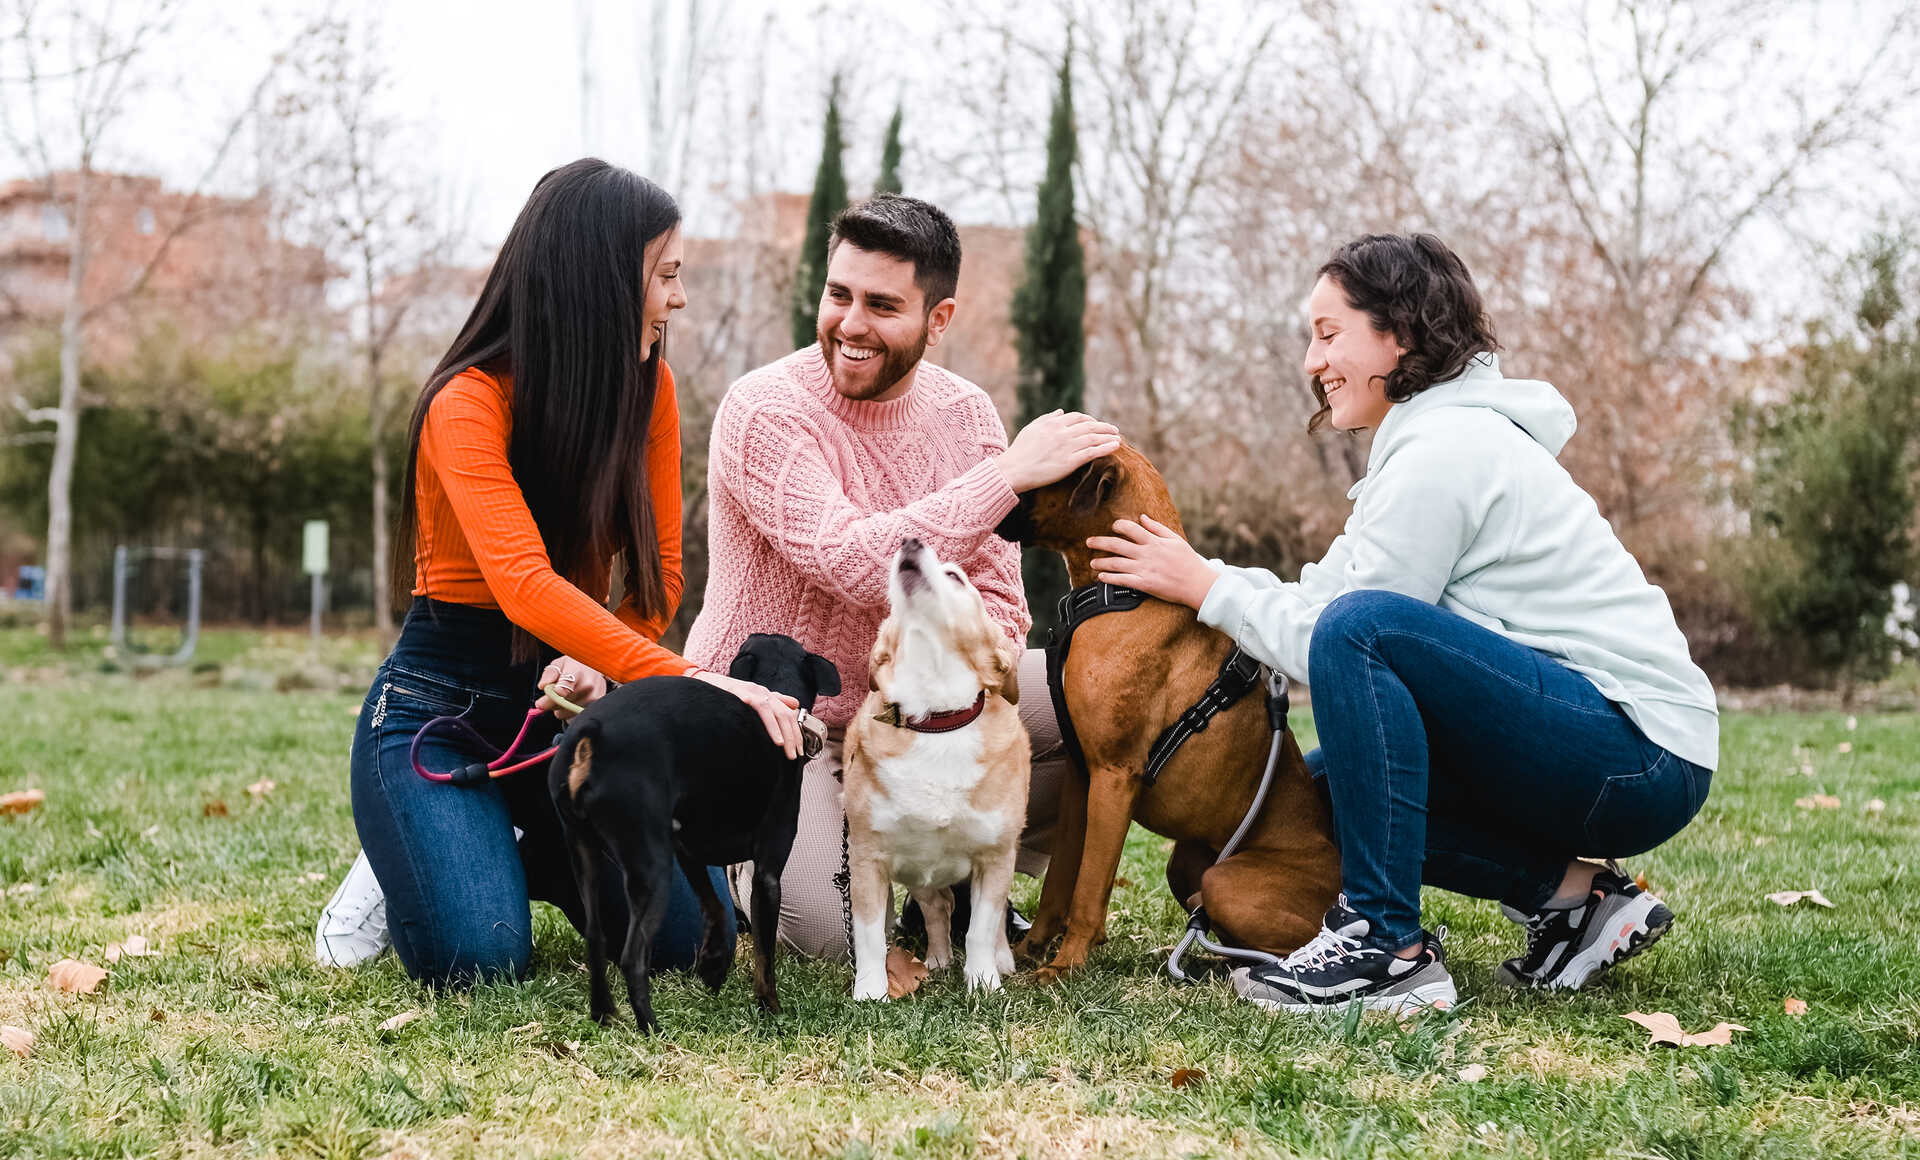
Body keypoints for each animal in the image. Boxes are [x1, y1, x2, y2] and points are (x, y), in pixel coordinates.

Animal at [545, 633, 837, 1029]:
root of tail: (592, 734)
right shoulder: (767, 874)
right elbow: (765, 954)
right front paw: (771, 1009)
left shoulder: (688, 850)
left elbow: (714, 907)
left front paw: (713, 966)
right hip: (652, 868)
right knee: (632, 956)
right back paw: (651, 1028)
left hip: (585, 854)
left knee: (595, 938)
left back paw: (604, 1014)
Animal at [844, 537, 1029, 998]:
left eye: (955, 576)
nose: (910, 540)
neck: (937, 718)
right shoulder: (867, 859)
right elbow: (870, 935)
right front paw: (870, 991)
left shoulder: (995, 858)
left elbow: (981, 929)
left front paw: (984, 982)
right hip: (918, 873)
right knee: (938, 907)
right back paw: (939, 958)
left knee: (988, 920)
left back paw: (1000, 960)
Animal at [998, 443, 1344, 979]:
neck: (1127, 594)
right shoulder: (1082, 776)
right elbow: (1060, 879)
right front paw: (1033, 950)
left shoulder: (1114, 777)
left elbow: (1089, 886)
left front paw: (1066, 965)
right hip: (1185, 866)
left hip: (1224, 883)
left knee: (1281, 945)